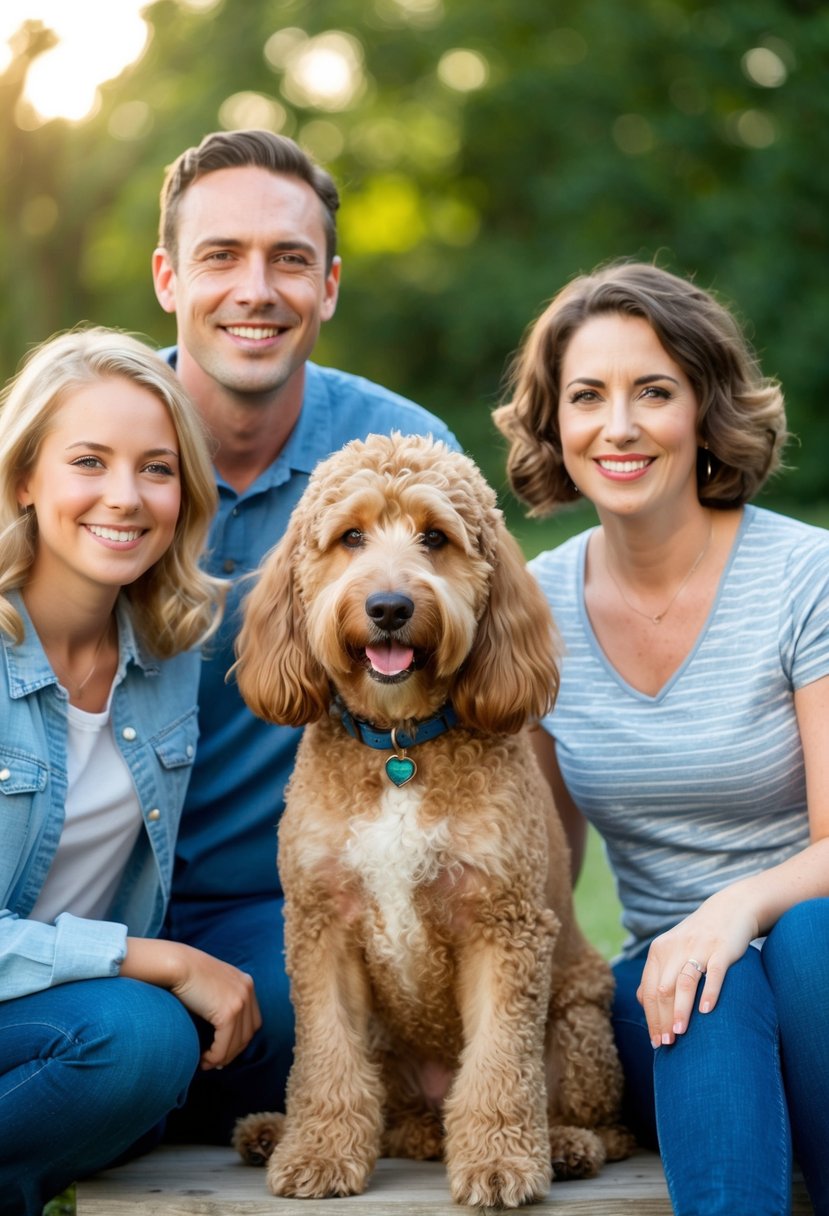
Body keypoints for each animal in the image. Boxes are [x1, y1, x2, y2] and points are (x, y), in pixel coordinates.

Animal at [229, 435, 627, 1206]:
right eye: (350, 537)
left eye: (435, 538)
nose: (388, 606)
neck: (399, 747)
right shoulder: (322, 926)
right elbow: (325, 1056)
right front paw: (318, 1153)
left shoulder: (503, 926)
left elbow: (500, 1063)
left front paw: (501, 1164)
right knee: (395, 1117)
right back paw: (277, 1130)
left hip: (580, 1021)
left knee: (599, 1124)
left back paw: (564, 1146)